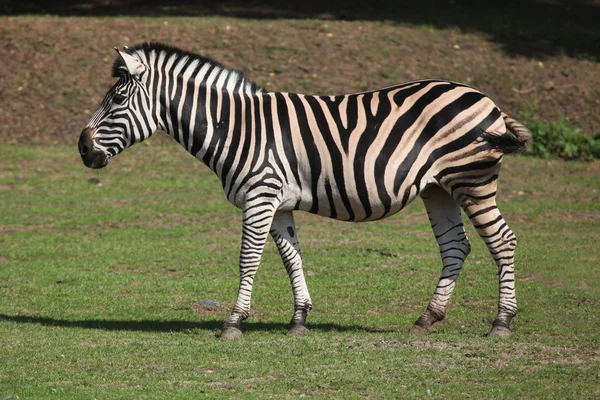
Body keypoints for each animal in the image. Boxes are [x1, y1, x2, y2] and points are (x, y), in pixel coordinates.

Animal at [78, 43, 528, 338]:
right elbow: (291, 258)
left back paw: (502, 322)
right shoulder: (278, 204)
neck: (235, 127)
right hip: (438, 188)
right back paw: (427, 319)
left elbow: (248, 260)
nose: (82, 148)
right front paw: (299, 320)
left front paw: (233, 323)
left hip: (472, 180)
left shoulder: (260, 195)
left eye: (117, 100)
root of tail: (486, 99)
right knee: (455, 246)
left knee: (502, 241)